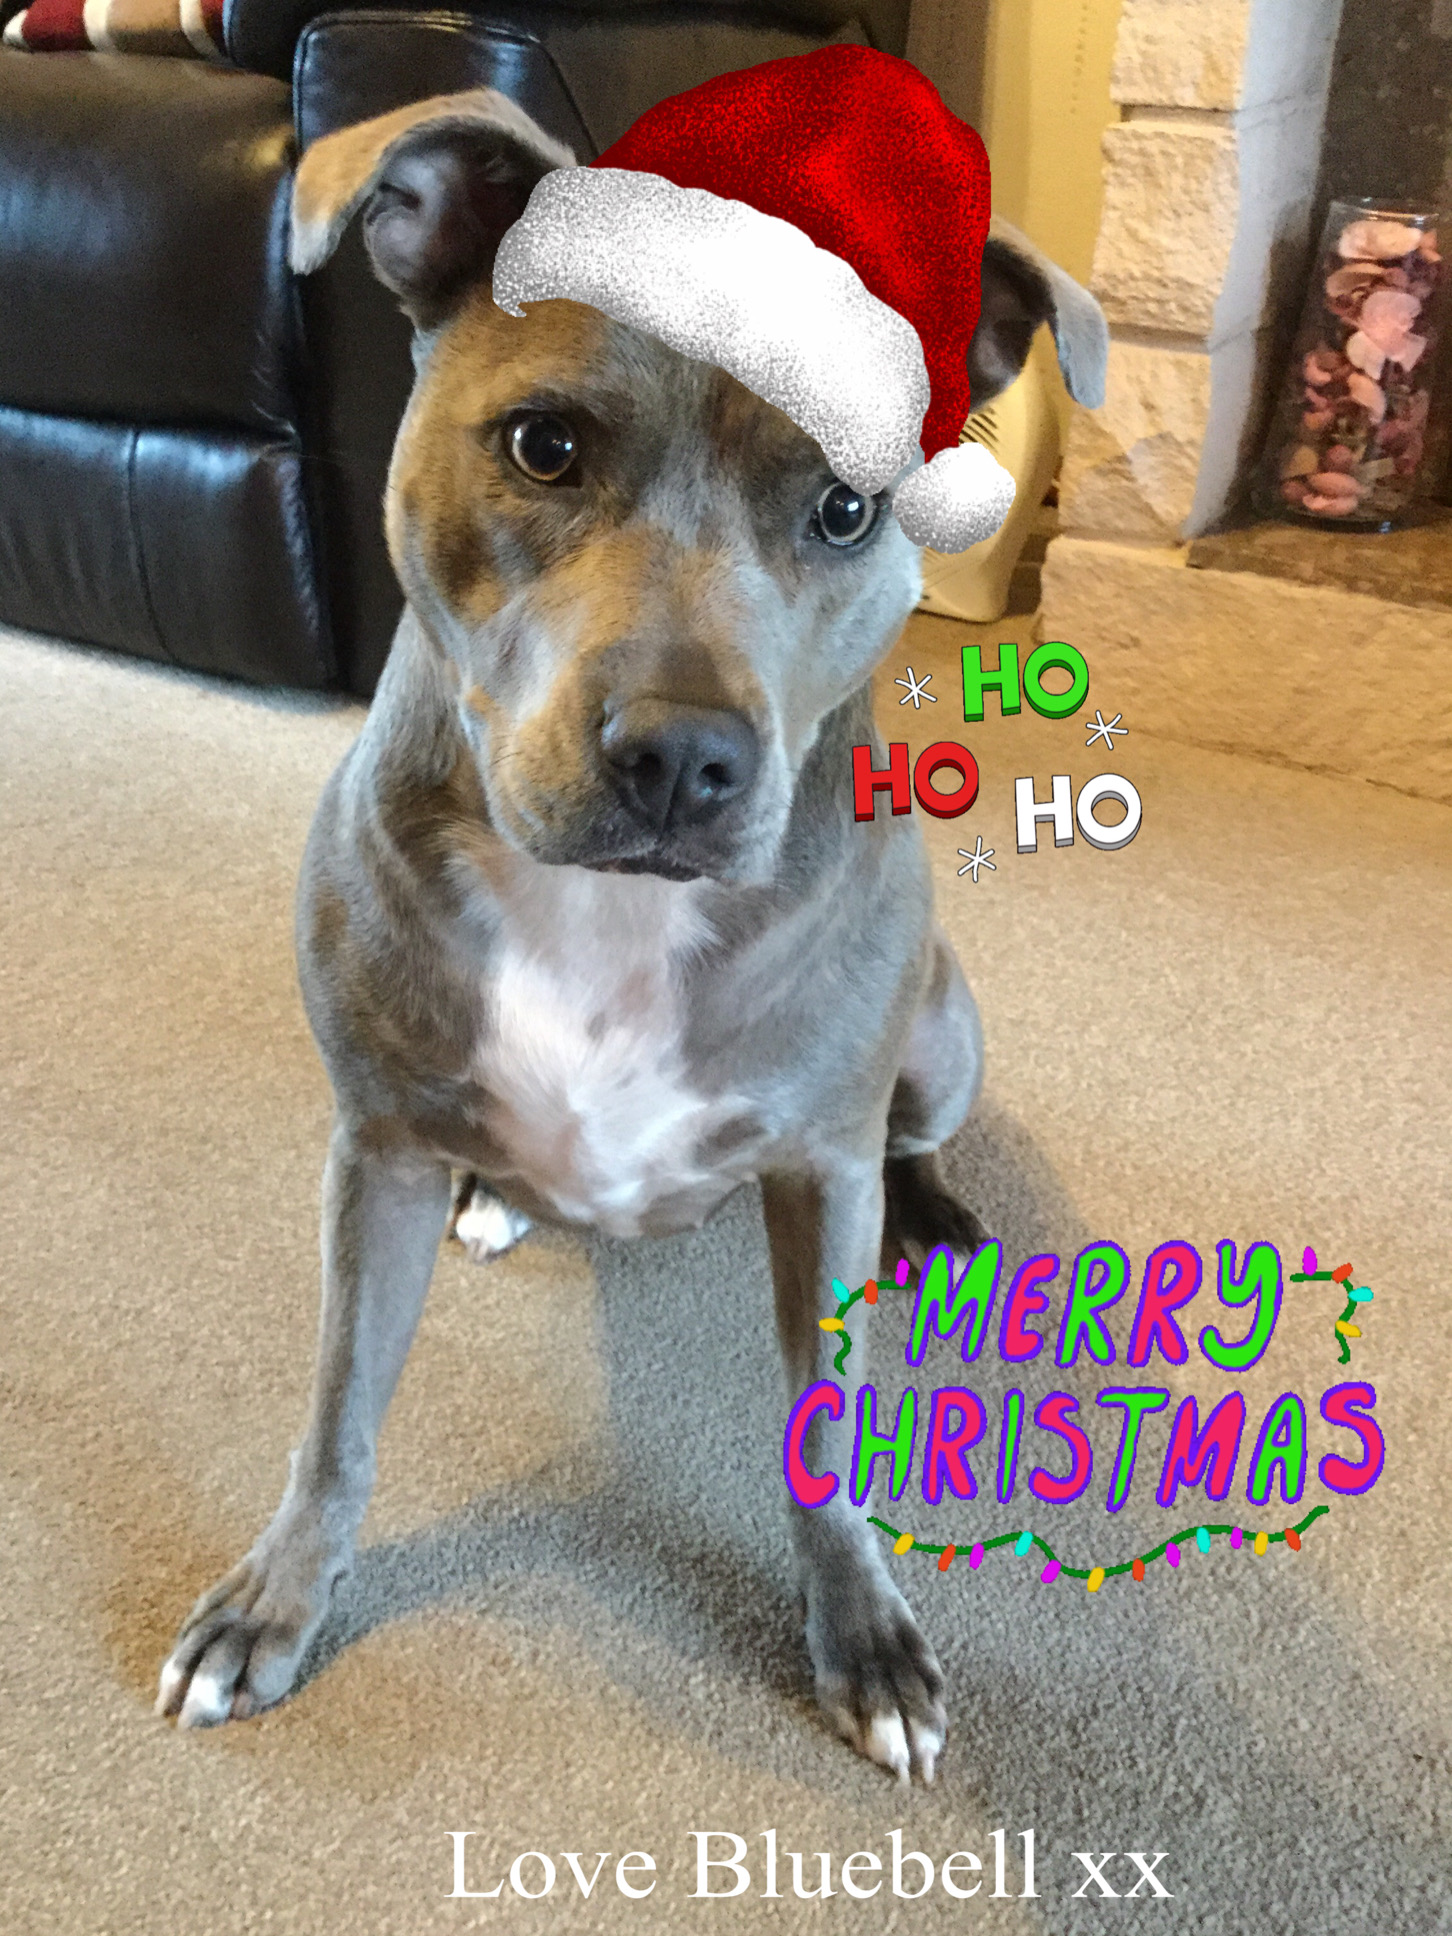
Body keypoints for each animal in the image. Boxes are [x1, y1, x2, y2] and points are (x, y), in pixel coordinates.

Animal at [155, 85, 1106, 1782]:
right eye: (545, 444)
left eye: (847, 508)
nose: (682, 759)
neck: (612, 912)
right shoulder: (374, 1153)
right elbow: (337, 1415)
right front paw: (276, 1600)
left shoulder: (816, 1171)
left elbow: (826, 1435)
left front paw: (862, 1634)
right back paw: (498, 1197)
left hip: (939, 1036)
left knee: (913, 1133)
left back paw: (937, 1215)